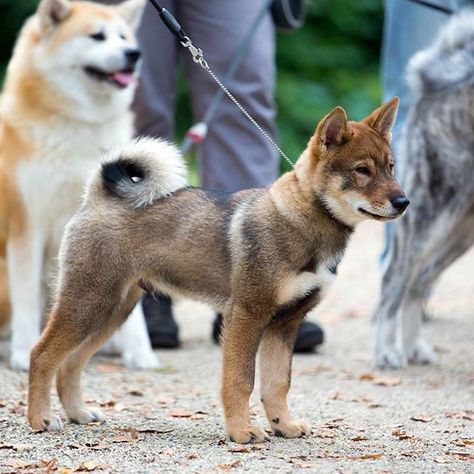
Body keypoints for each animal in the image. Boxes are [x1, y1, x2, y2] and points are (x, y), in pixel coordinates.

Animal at [0, 0, 159, 370]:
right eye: (96, 36)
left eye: (123, 37)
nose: (134, 54)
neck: (79, 127)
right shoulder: (27, 224)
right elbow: (27, 298)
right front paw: (22, 351)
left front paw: (140, 352)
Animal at [27, 98, 410, 442]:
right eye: (362, 170)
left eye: (391, 167)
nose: (404, 202)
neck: (303, 221)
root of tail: (97, 196)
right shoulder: (247, 316)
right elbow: (241, 380)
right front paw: (242, 431)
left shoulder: (285, 324)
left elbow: (277, 383)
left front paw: (283, 425)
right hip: (87, 305)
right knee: (42, 355)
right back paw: (40, 419)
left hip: (110, 312)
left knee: (70, 364)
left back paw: (78, 413)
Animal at [374, 9, 474, 368]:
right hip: (429, 218)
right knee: (394, 279)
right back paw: (387, 351)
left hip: (460, 231)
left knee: (418, 281)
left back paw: (414, 345)